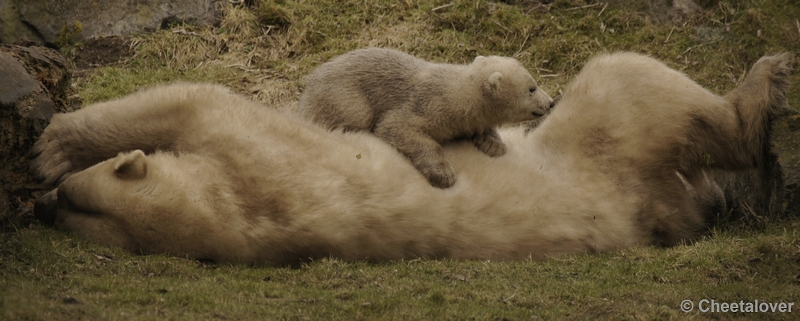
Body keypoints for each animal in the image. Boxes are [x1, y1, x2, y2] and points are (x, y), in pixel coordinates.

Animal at [28, 52, 792, 262]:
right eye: (68, 206)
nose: (41, 207)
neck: (242, 215)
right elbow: (194, 103)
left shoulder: (253, 150)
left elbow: (193, 103)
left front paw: (52, 147)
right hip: (618, 155)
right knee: (639, 89)